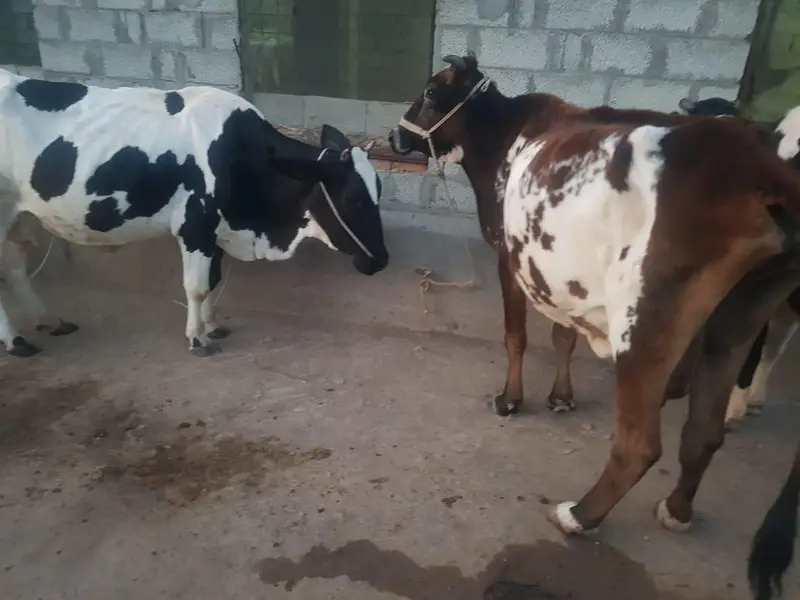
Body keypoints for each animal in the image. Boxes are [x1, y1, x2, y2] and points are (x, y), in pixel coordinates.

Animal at [0, 69, 389, 357]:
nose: (382, 260)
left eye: (379, 189)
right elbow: (197, 286)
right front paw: (197, 339)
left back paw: (49, 321)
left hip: (19, 217)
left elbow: (213, 281)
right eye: (354, 197)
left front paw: (212, 327)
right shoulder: (195, 227)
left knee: (15, 270)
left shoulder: (214, 231)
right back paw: (17, 342)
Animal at [389, 53, 800, 539]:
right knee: (703, 432)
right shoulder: (556, 274)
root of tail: (757, 163)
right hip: (738, 317)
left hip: (643, 324)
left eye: (432, 91)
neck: (505, 135)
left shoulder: (509, 258)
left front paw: (511, 400)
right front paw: (561, 397)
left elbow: (516, 336)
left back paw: (580, 515)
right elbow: (563, 336)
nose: (395, 137)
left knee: (639, 445)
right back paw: (677, 509)